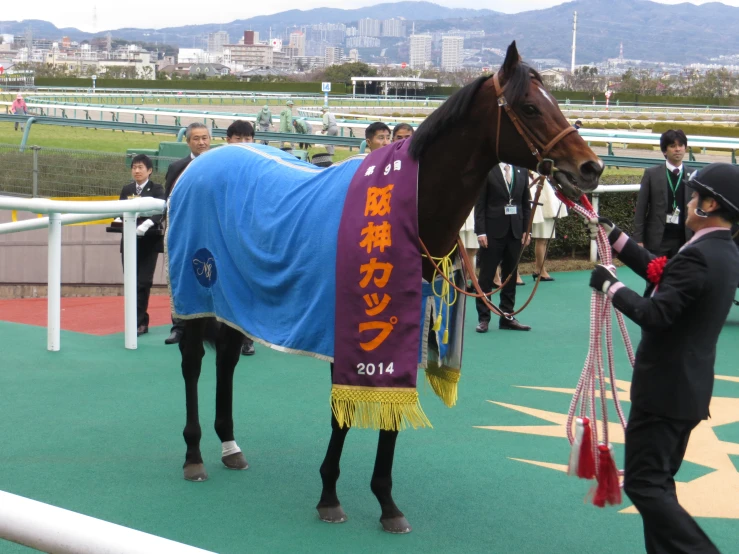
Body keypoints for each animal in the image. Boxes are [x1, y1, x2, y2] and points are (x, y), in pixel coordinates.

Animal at [176, 41, 604, 532]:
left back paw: (230, 446)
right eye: (531, 107)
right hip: (196, 285)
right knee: (192, 362)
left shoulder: (404, 322)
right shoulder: (347, 328)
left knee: (226, 358)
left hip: (236, 297)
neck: (407, 212)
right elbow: (340, 417)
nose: (591, 167)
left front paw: (386, 502)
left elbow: (392, 413)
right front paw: (329, 495)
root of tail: (206, 160)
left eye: (555, 101)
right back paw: (194, 453)